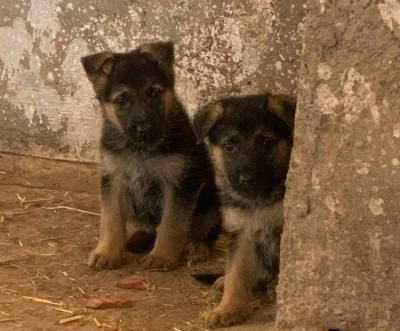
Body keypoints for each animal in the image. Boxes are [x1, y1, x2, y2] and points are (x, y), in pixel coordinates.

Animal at [79, 41, 220, 272]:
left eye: (154, 93)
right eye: (121, 100)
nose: (144, 128)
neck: (140, 149)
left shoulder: (178, 184)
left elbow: (171, 224)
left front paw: (161, 256)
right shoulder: (114, 180)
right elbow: (111, 219)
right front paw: (107, 251)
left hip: (210, 202)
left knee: (203, 230)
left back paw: (197, 246)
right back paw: (139, 238)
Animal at [192, 92, 296, 326]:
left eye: (266, 142)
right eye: (229, 146)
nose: (247, 180)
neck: (259, 200)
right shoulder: (242, 233)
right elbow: (236, 273)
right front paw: (227, 308)